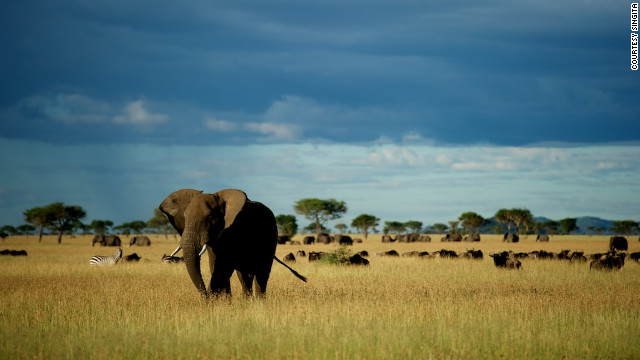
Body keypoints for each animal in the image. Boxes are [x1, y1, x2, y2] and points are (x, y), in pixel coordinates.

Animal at [161, 188, 308, 298]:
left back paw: (259, 302)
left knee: (262, 274)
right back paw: (247, 302)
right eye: (185, 218)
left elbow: (223, 268)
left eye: (210, 218)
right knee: (244, 276)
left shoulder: (233, 231)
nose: (205, 298)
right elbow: (215, 266)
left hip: (271, 238)